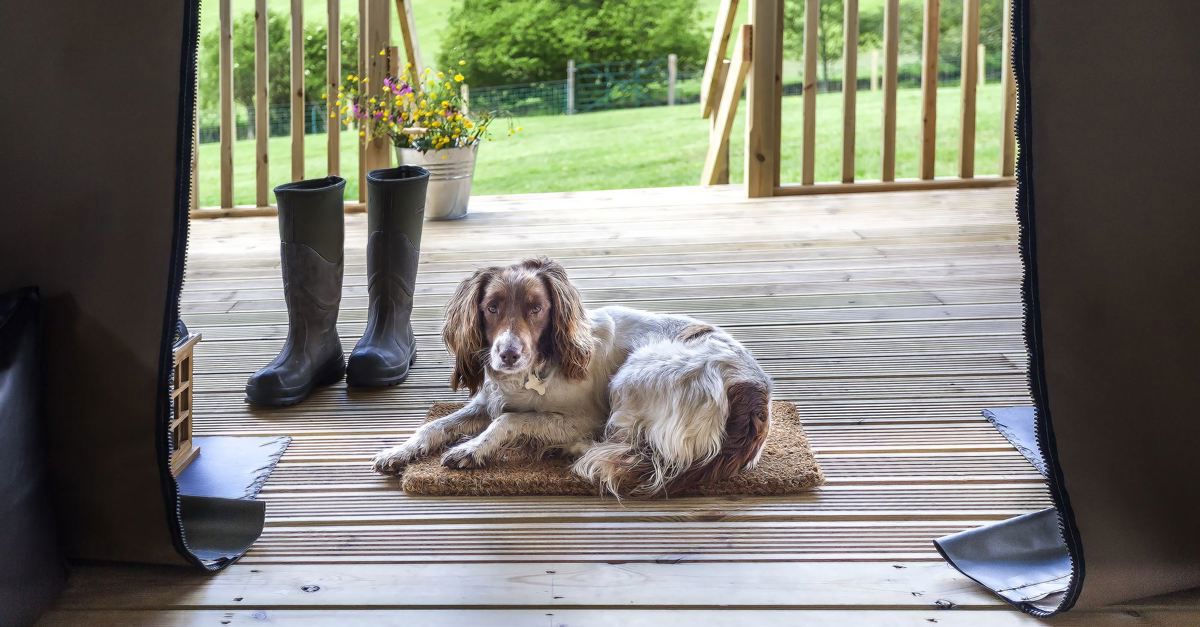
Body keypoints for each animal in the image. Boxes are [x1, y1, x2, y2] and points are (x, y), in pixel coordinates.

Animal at [369, 255, 772, 494]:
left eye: (537, 308)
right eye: (491, 307)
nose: (508, 354)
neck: (536, 368)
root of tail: (751, 388)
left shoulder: (584, 417)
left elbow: (509, 421)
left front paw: (471, 448)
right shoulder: (487, 401)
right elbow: (434, 425)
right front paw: (399, 450)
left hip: (631, 378)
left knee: (623, 443)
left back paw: (566, 448)